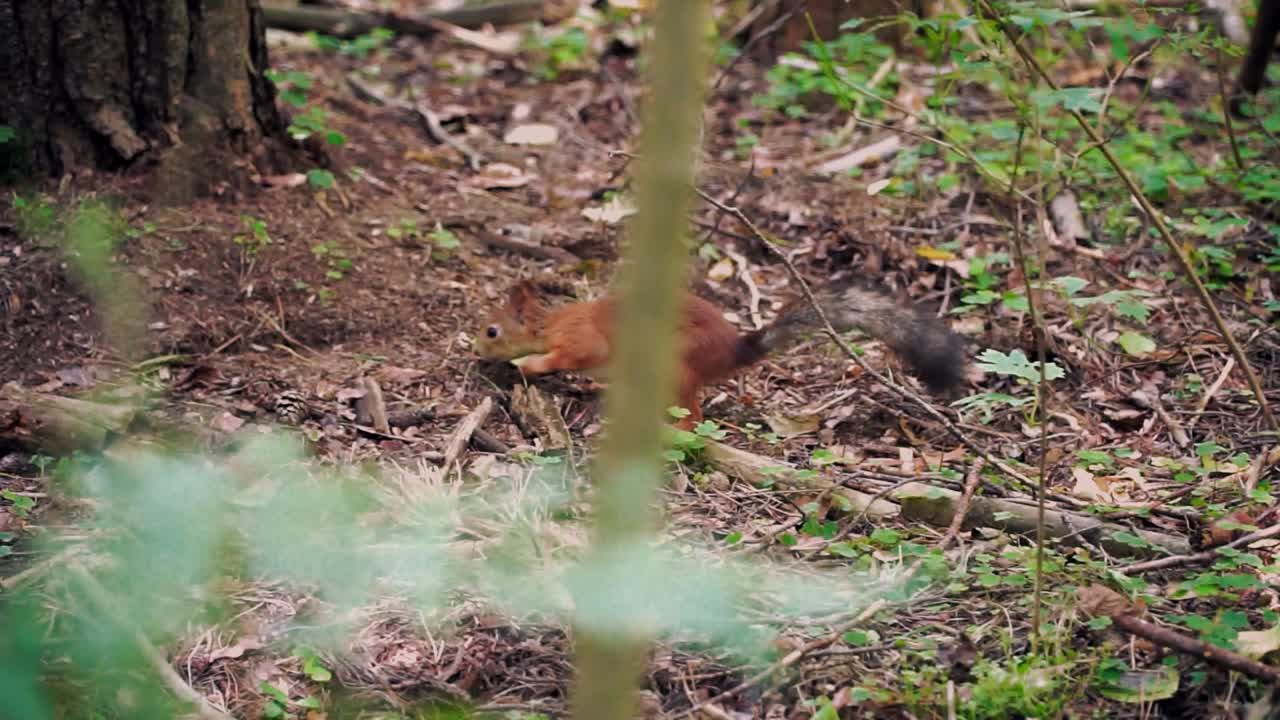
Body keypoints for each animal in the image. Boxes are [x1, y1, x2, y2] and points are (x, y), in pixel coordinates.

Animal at [474, 278, 967, 428]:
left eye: (492, 330)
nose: (477, 353)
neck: (550, 323)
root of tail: (732, 352)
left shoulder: (582, 340)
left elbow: (568, 356)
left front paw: (528, 363)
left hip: (676, 363)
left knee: (693, 416)